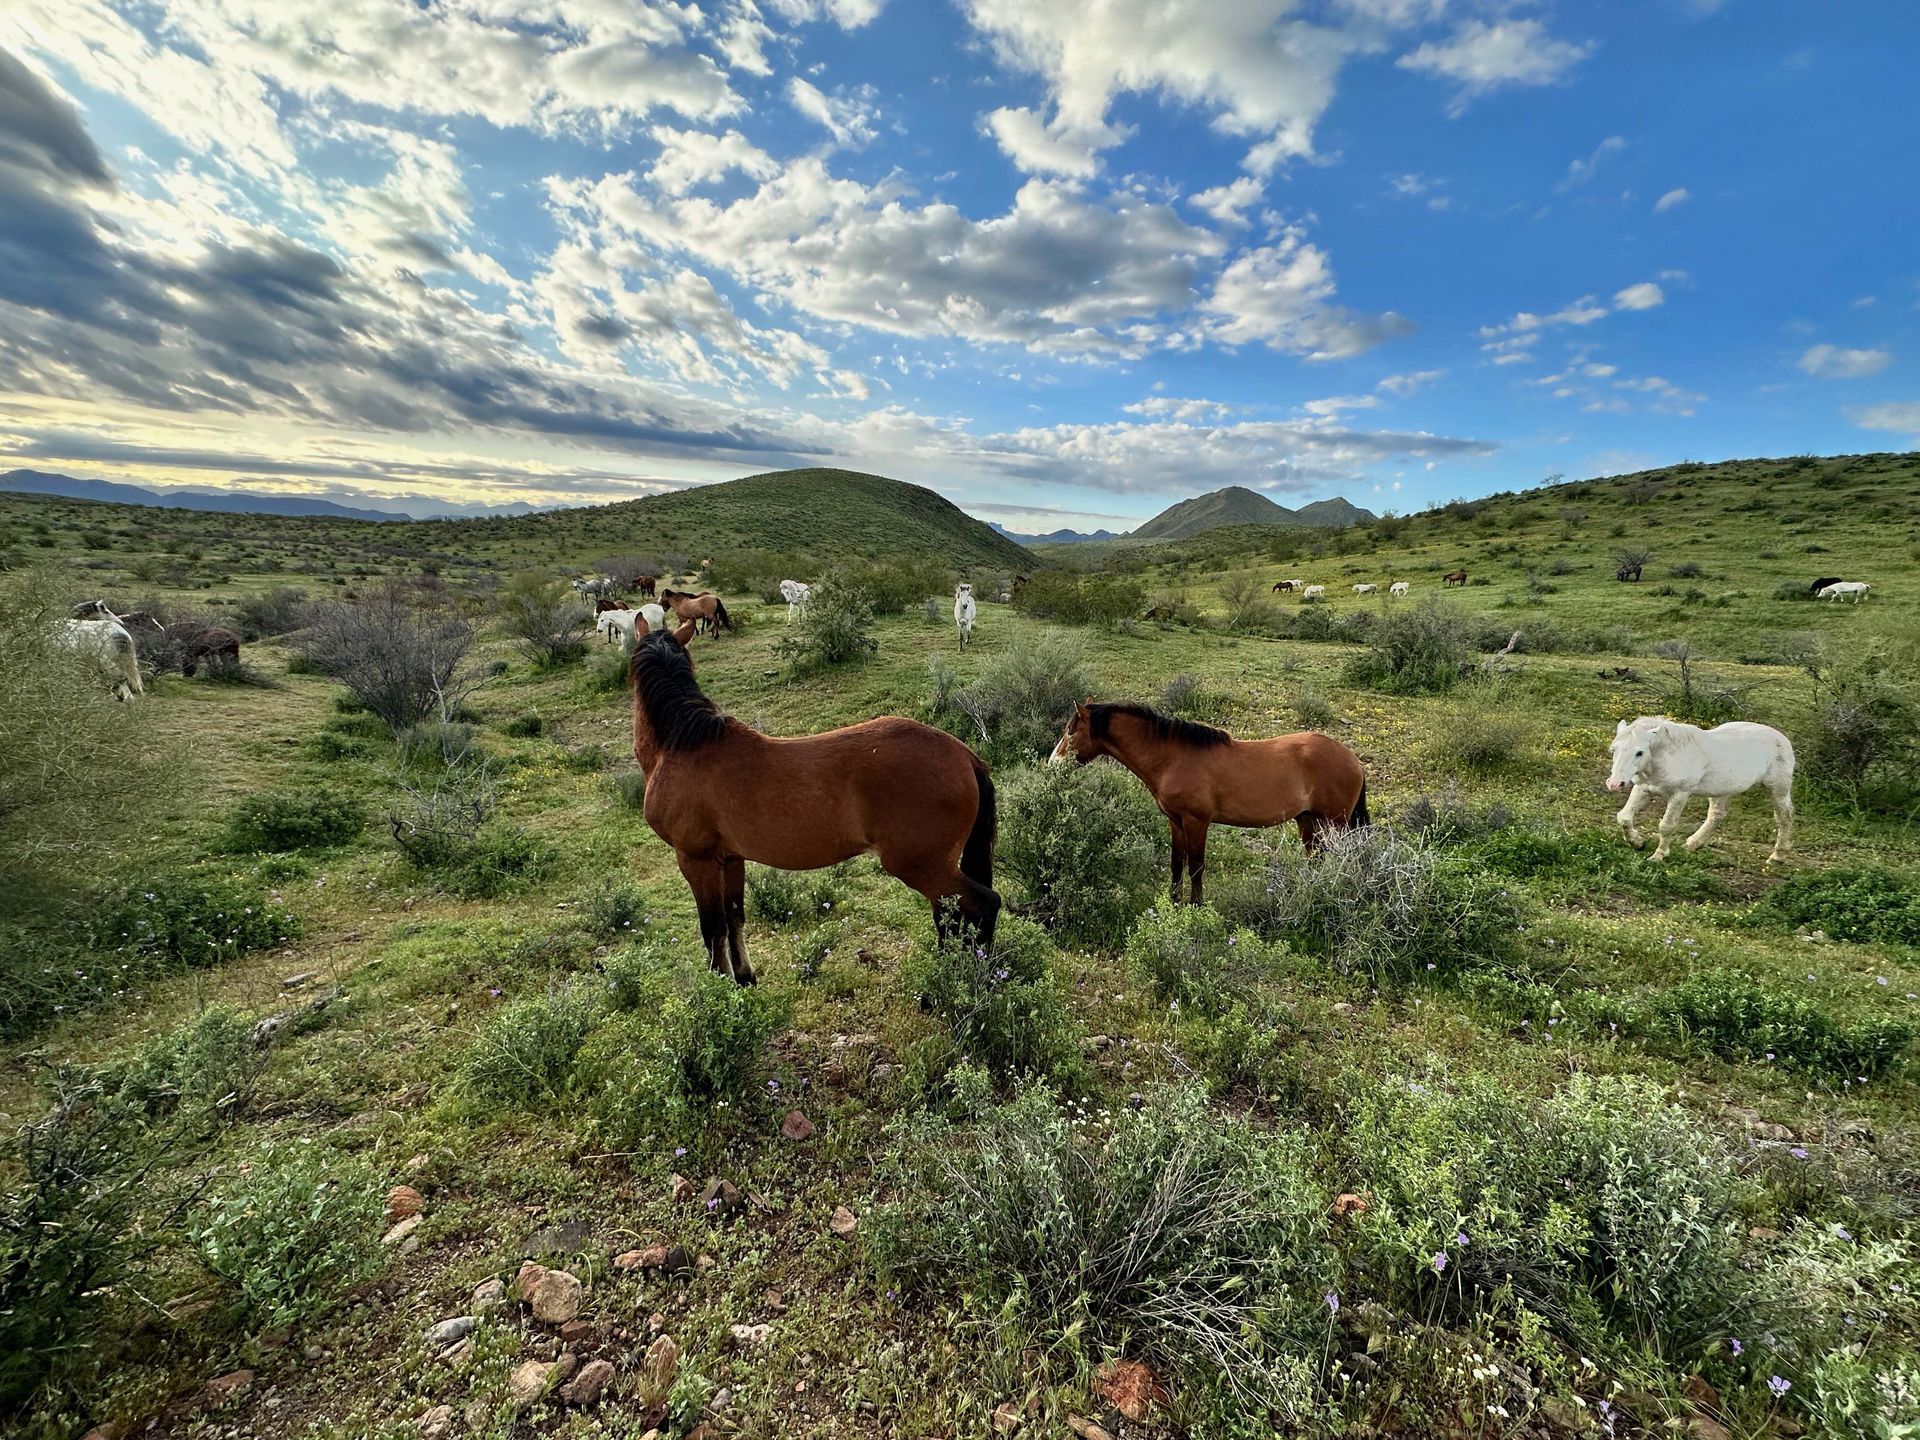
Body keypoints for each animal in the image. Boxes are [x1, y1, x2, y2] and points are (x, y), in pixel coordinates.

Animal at [629, 630, 999, 981]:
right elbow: (735, 917)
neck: (685, 747)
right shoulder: (730, 858)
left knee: (980, 907)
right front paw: (745, 979)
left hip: (922, 866)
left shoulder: (696, 860)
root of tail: (965, 755)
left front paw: (719, 989)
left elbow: (713, 928)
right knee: (952, 916)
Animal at [1050, 701, 1369, 905]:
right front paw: (1173, 902)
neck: (1174, 759)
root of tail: (1353, 760)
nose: (1052, 764)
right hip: (1307, 819)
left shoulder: (1196, 821)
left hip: (1335, 823)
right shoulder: (1175, 821)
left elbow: (1196, 866)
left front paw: (1196, 906)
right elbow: (1177, 863)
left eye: (1071, 731)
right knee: (1315, 858)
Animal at [1606, 717, 1795, 863]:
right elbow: (1624, 817)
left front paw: (1658, 856)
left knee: (1784, 817)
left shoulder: (1679, 795)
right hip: (1722, 790)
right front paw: (1637, 842)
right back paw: (1692, 844)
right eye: (1614, 749)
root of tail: (1783, 739)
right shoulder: (1644, 789)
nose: (1615, 783)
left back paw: (1777, 856)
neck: (1669, 755)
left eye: (1639, 752)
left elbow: (1667, 826)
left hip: (1778, 790)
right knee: (1716, 815)